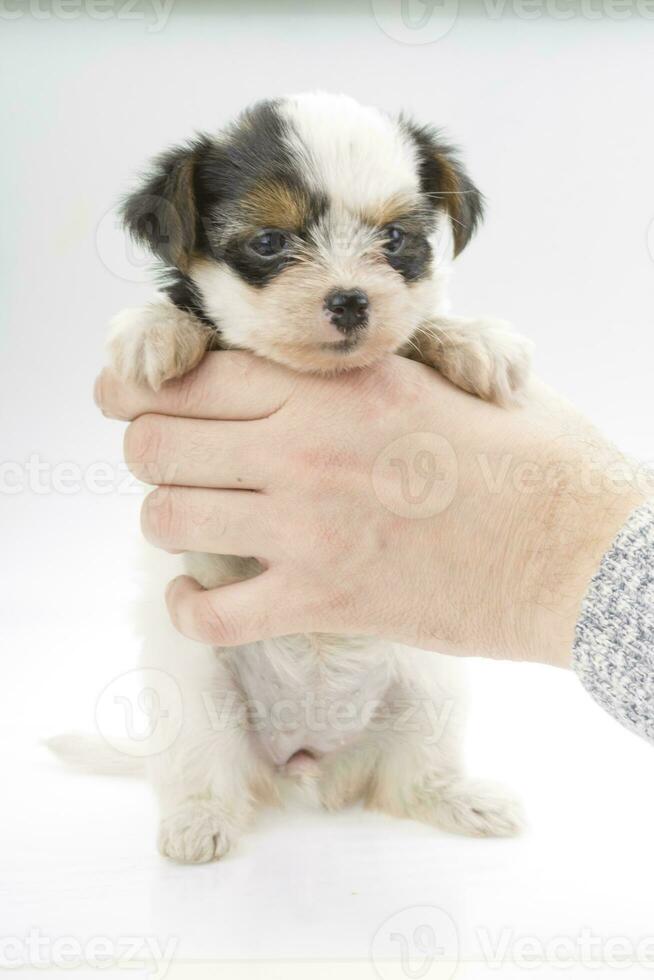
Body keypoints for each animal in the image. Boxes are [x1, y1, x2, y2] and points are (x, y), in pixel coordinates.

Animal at [55, 94, 532, 864]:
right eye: (271, 243)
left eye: (396, 239)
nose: (351, 300)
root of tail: (310, 766)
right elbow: (185, 318)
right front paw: (155, 328)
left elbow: (419, 326)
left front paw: (478, 339)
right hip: (198, 696)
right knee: (205, 775)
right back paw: (197, 822)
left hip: (428, 689)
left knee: (413, 781)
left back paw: (463, 800)